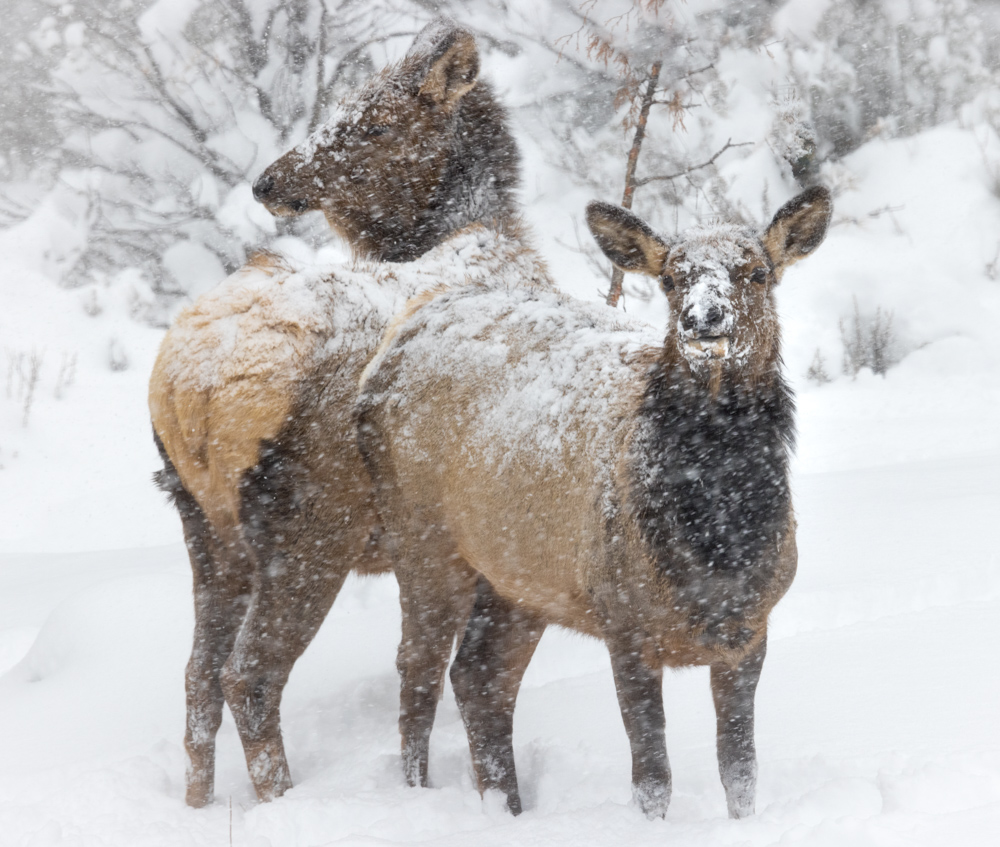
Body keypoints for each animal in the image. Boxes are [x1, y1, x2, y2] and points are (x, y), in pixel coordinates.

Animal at [148, 18, 552, 808]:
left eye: (373, 120)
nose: (269, 180)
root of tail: (191, 385)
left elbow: (417, 672)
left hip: (205, 528)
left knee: (196, 678)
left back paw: (198, 803)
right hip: (311, 527)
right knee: (249, 676)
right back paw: (282, 800)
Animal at [355, 186, 832, 818]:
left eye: (756, 272)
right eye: (671, 278)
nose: (703, 318)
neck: (714, 555)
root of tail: (390, 346)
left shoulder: (751, 626)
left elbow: (740, 769)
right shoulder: (623, 617)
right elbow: (652, 777)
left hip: (518, 576)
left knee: (479, 676)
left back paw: (507, 809)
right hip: (422, 535)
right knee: (418, 669)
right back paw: (419, 795)